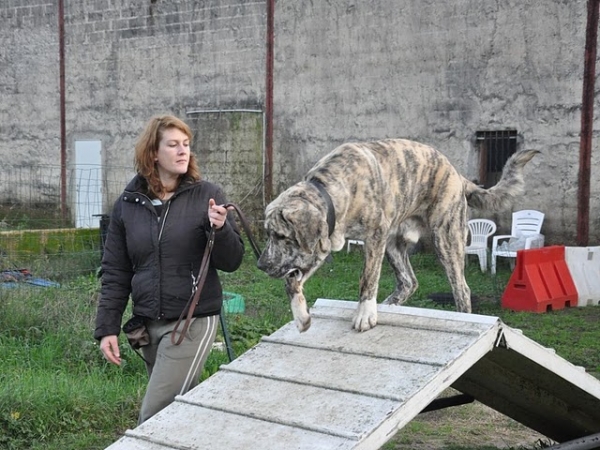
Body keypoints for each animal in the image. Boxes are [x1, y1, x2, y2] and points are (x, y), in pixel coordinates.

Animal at [255, 139, 536, 332]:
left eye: (281, 236)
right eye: (269, 234)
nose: (261, 264)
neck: (332, 188)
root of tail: (457, 174)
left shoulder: (374, 237)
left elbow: (367, 279)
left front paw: (365, 313)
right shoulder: (318, 249)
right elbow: (291, 282)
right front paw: (301, 317)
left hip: (445, 238)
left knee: (462, 289)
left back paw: (462, 315)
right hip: (394, 245)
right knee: (409, 281)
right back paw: (389, 304)